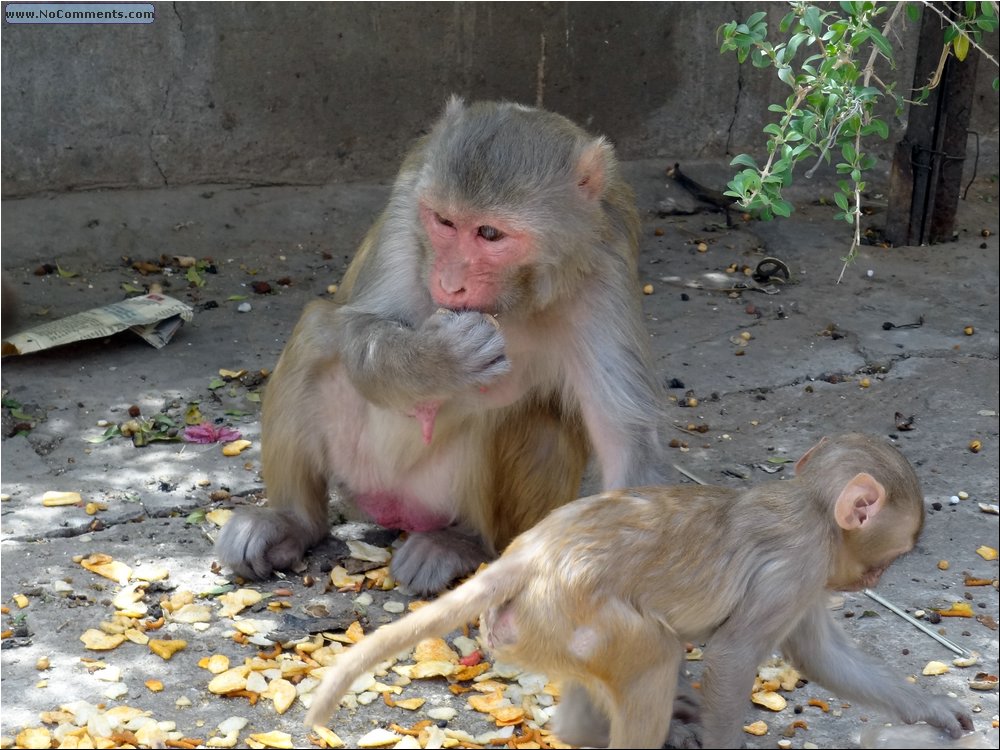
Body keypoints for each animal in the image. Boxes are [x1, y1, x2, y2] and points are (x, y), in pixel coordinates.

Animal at [215, 97, 668, 596]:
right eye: (445, 222)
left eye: (489, 234)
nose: (450, 284)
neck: (517, 297)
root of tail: (397, 506)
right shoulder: (405, 213)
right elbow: (360, 331)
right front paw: (442, 360)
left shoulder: (605, 269)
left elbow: (627, 441)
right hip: (358, 466)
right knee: (318, 333)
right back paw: (292, 522)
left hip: (440, 496)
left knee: (534, 414)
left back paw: (464, 543)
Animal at [306, 434, 976, 750]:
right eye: (893, 553)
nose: (879, 580)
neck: (810, 507)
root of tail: (531, 553)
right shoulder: (798, 567)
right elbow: (734, 655)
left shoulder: (808, 580)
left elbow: (820, 656)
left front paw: (933, 710)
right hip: (576, 613)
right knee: (653, 653)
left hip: (541, 629)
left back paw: (583, 731)